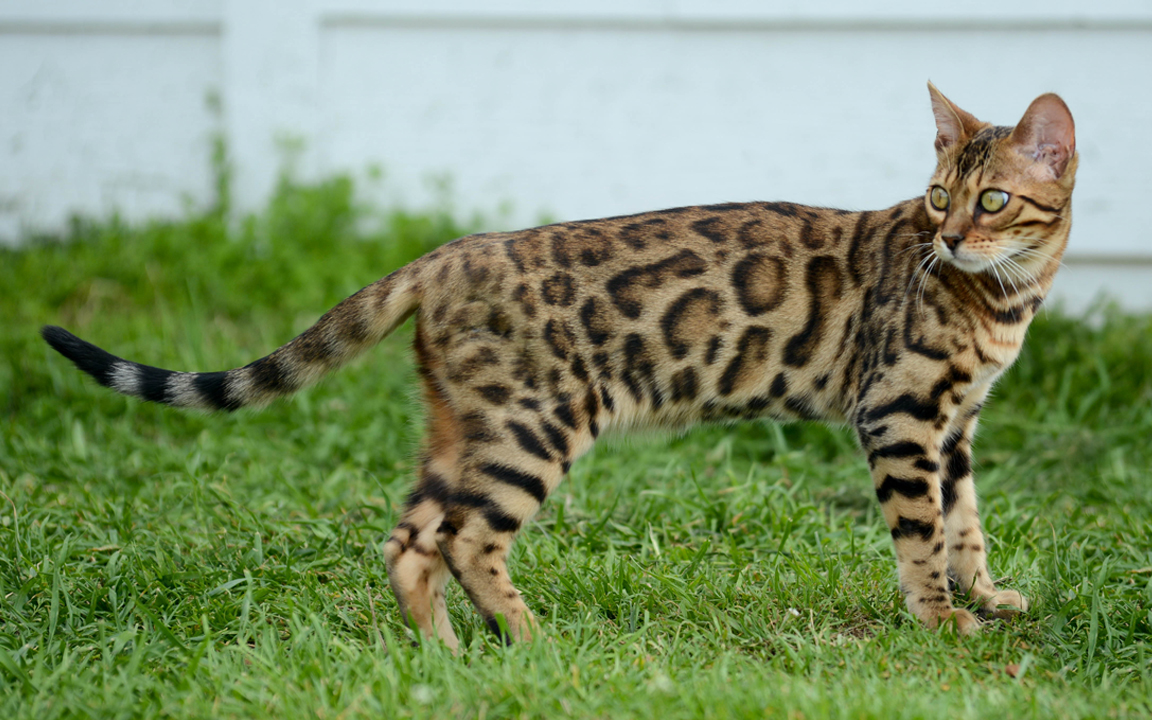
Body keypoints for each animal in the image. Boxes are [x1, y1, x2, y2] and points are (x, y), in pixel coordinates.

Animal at [42, 82, 1069, 645]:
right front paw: (940, 621)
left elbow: (965, 524)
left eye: (992, 199)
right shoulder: (899, 414)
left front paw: (987, 597)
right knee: (465, 537)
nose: (949, 239)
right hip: (533, 425)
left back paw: (448, 658)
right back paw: (531, 638)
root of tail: (444, 254)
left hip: (461, 426)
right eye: (937, 197)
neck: (1002, 301)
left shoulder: (956, 425)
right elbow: (920, 532)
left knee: (409, 538)